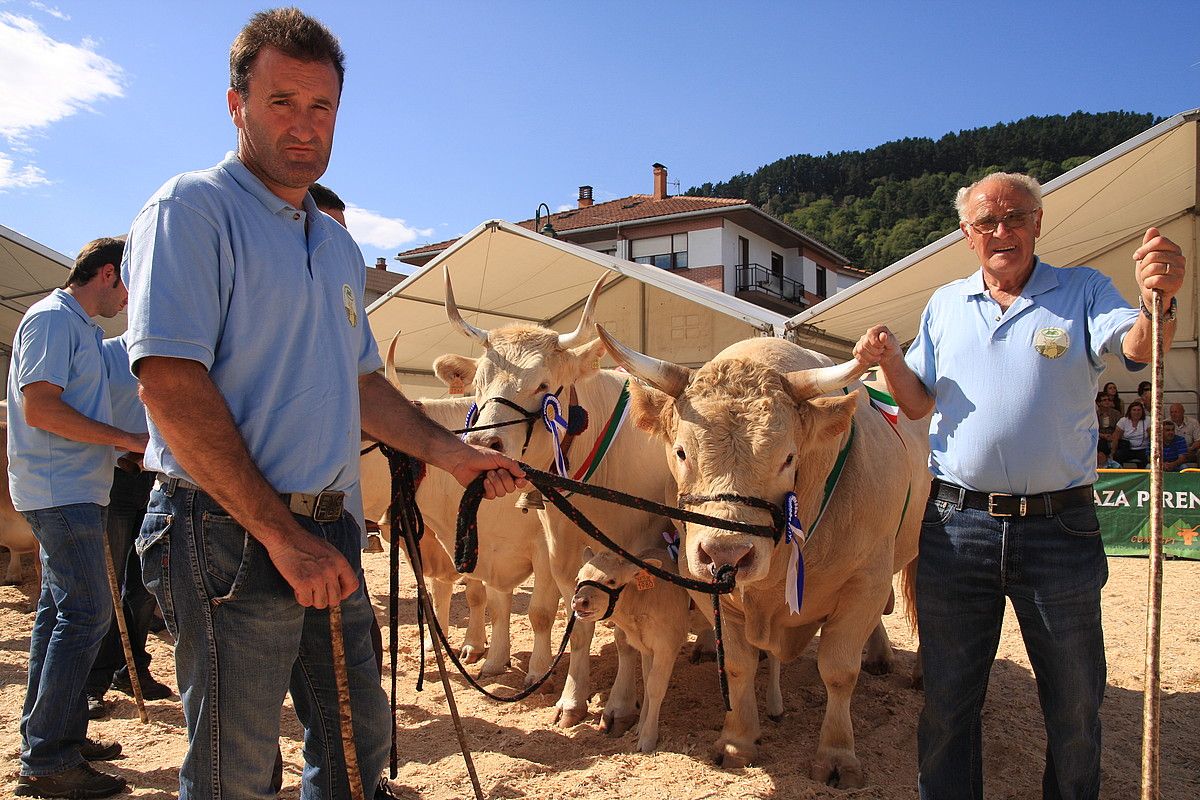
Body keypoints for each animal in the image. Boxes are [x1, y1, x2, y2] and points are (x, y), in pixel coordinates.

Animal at [573, 544, 691, 753]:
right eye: (578, 578)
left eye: (611, 580)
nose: (580, 601)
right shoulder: (647, 647)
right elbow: (647, 681)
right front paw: (640, 726)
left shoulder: (667, 645)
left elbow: (655, 687)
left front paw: (648, 738)